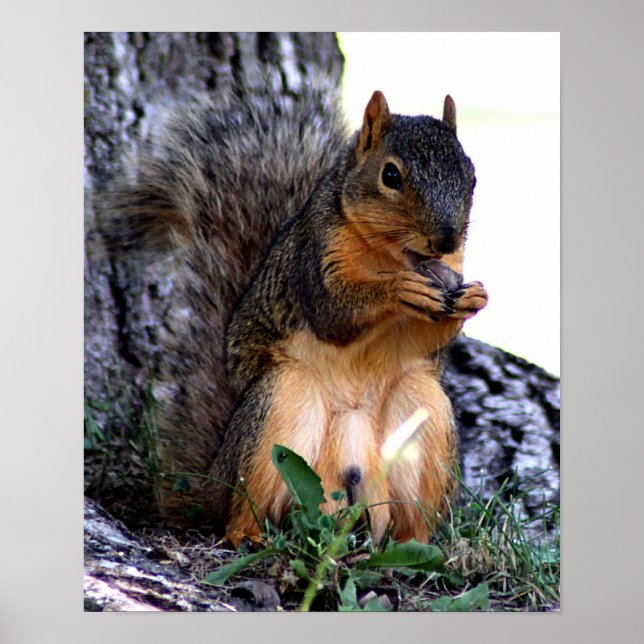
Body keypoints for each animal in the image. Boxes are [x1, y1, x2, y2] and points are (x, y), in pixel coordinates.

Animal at [102, 84, 488, 546]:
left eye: (472, 176)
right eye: (391, 176)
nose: (445, 239)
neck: (394, 254)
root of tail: (212, 482)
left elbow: (426, 339)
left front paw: (474, 298)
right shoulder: (313, 257)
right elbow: (333, 314)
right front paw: (399, 288)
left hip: (423, 413)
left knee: (408, 520)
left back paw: (419, 546)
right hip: (281, 403)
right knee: (243, 507)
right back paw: (246, 534)